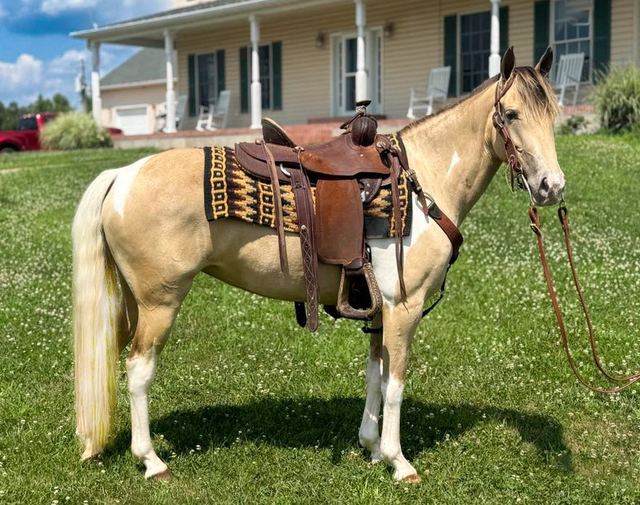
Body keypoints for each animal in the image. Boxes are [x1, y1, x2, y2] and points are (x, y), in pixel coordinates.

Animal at [72, 48, 564, 482]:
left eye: (554, 114)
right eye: (512, 114)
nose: (551, 187)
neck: (422, 181)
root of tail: (123, 174)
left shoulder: (379, 311)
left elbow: (375, 376)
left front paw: (370, 447)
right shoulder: (403, 310)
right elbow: (397, 384)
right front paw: (398, 461)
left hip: (135, 302)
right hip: (160, 303)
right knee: (139, 371)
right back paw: (151, 461)